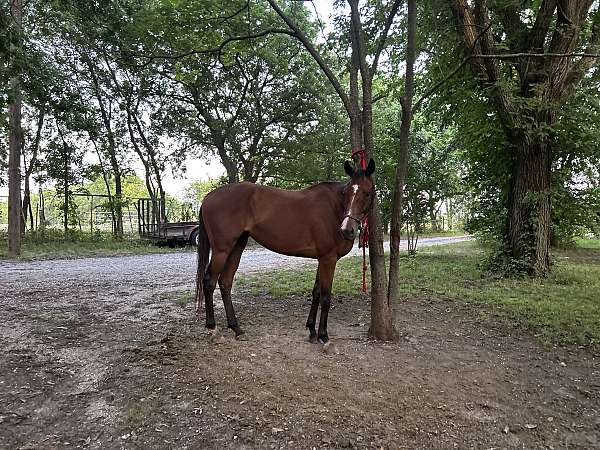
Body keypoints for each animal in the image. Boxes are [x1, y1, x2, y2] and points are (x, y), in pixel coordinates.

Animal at [197, 158, 376, 342]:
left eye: (367, 193)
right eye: (346, 193)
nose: (347, 230)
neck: (333, 208)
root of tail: (208, 197)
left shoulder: (322, 259)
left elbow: (316, 293)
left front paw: (312, 330)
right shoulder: (329, 259)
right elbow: (326, 297)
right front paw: (323, 335)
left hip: (237, 247)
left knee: (225, 282)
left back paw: (236, 328)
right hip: (221, 250)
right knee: (209, 282)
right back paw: (212, 327)